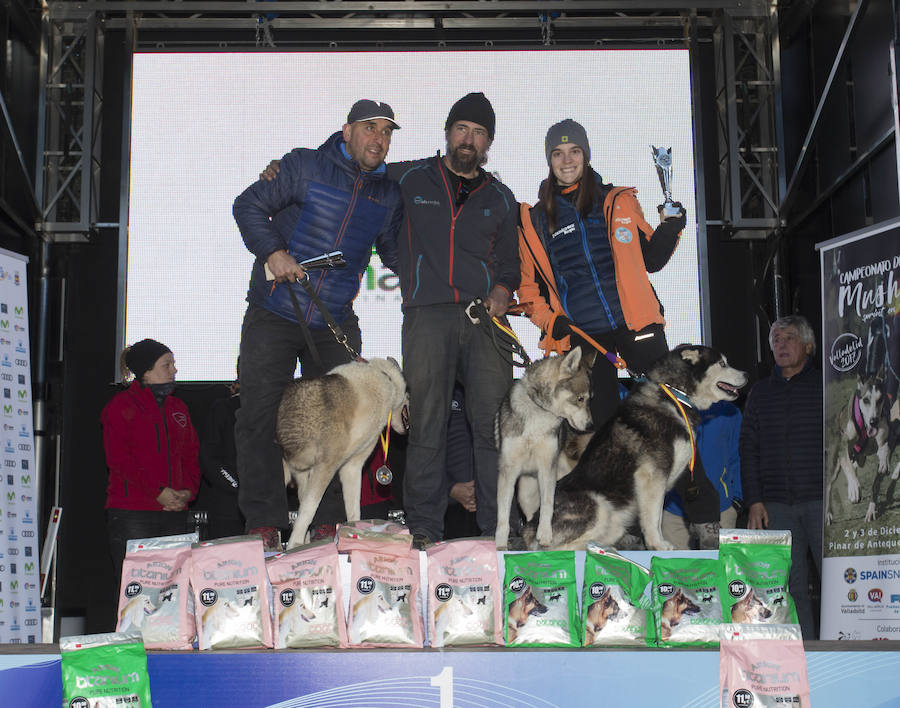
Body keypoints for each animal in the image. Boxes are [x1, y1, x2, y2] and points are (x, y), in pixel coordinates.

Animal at [276, 360, 410, 548]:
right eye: (408, 394)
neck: (383, 377)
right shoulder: (325, 466)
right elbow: (309, 509)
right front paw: (295, 544)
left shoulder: (350, 468)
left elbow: (353, 510)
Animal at [496, 346, 596, 552]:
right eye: (580, 399)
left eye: (590, 399)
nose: (591, 425)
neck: (538, 412)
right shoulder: (508, 471)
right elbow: (503, 513)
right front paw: (501, 543)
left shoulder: (547, 468)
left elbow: (548, 505)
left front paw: (545, 535)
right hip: (525, 494)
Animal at [524, 346, 748, 552]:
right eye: (722, 364)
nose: (747, 374)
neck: (675, 395)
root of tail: (529, 527)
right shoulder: (652, 475)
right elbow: (653, 519)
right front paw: (657, 544)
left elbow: (657, 515)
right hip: (599, 506)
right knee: (554, 550)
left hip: (614, 524)